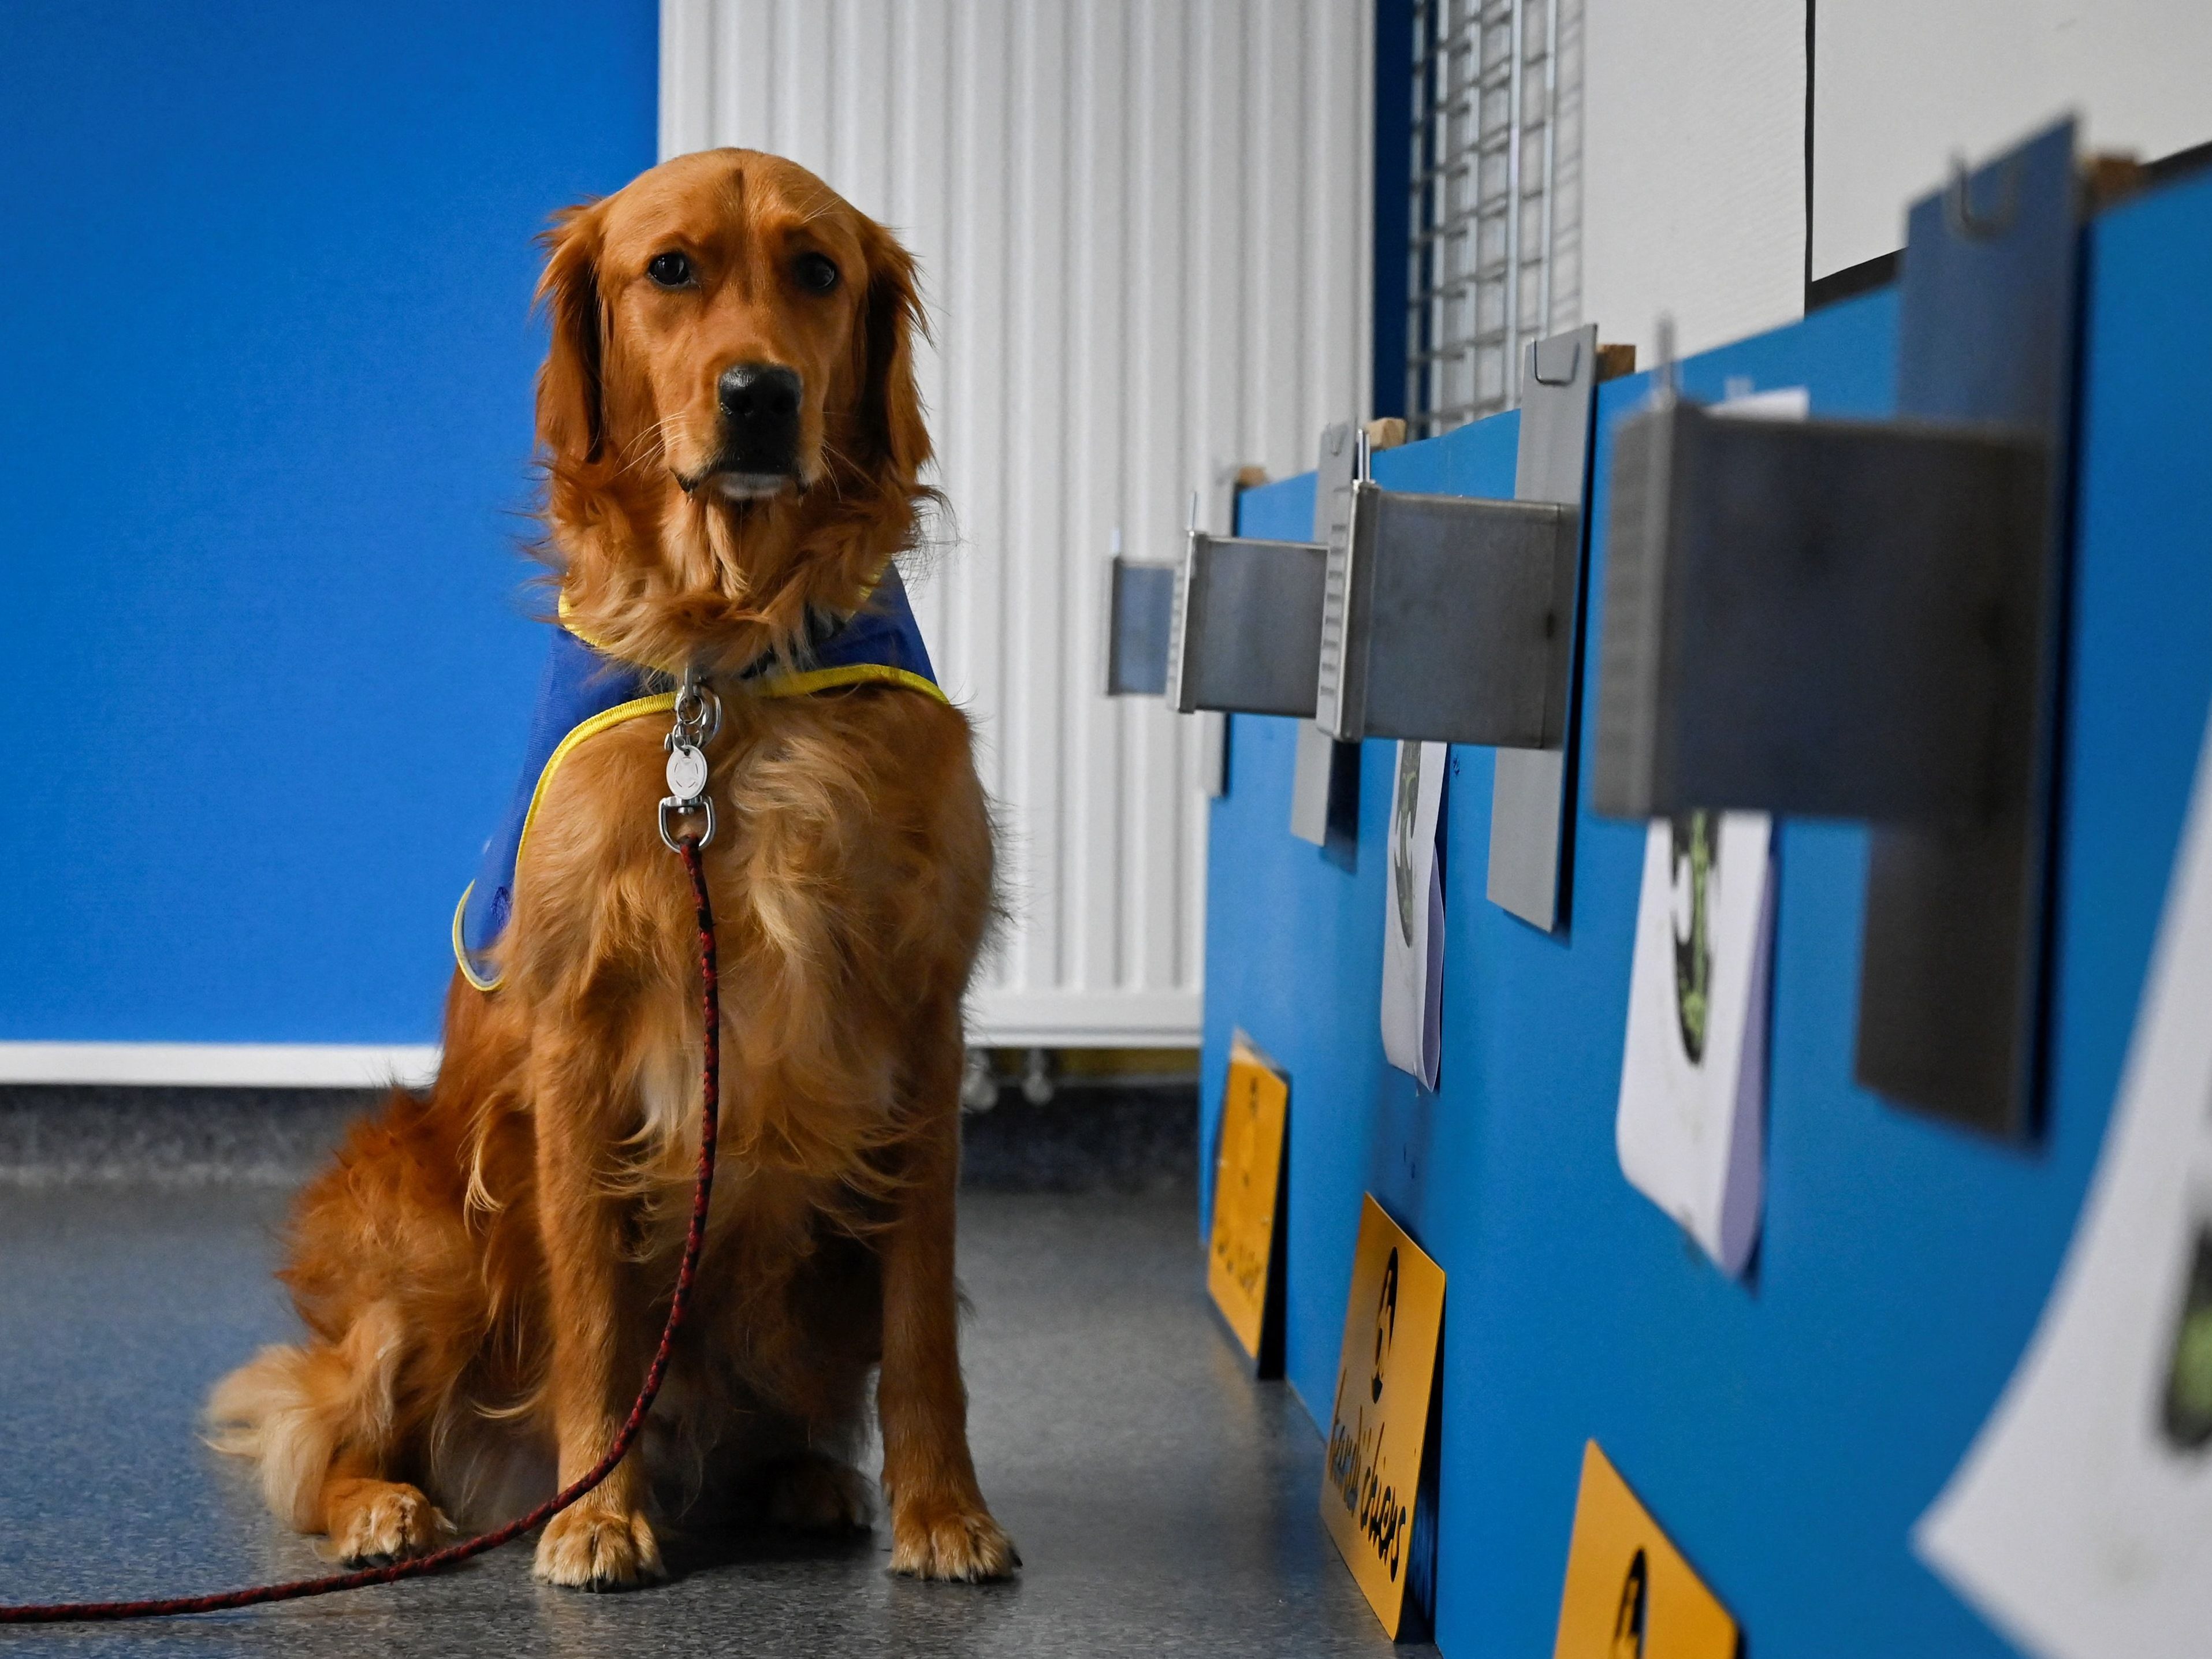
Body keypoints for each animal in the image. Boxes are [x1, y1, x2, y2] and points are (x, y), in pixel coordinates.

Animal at [203, 149, 1013, 1593]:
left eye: (817, 271)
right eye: (671, 270)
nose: (761, 395)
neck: (731, 660)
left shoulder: (920, 1024)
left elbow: (925, 1322)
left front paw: (944, 1509)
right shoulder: (581, 1030)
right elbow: (594, 1308)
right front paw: (595, 1513)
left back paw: (807, 1479)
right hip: (420, 1222)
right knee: (331, 1421)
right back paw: (388, 1505)